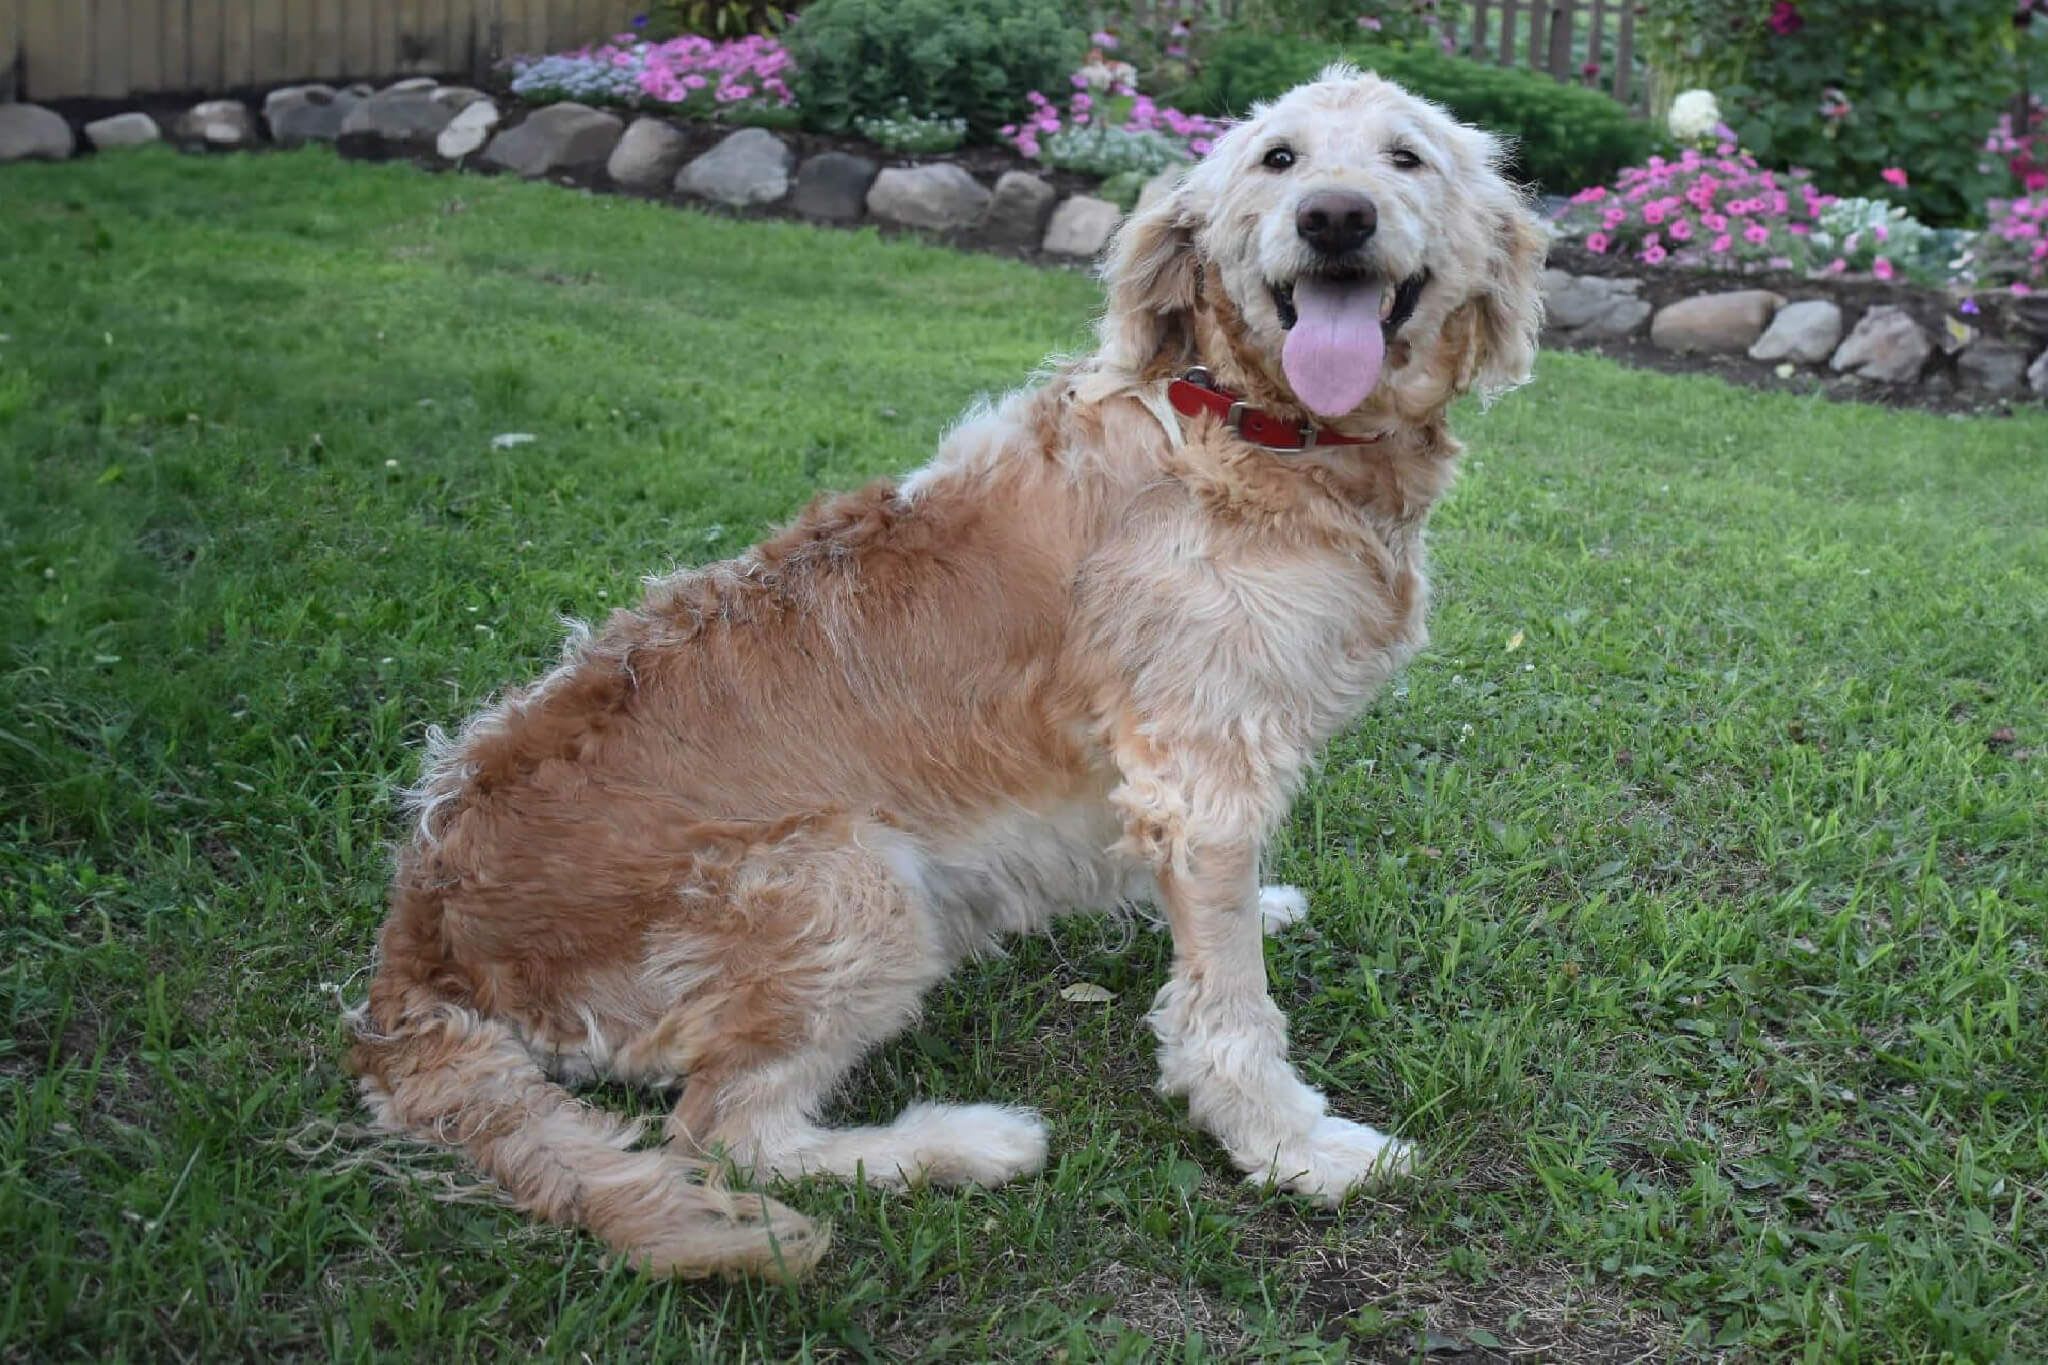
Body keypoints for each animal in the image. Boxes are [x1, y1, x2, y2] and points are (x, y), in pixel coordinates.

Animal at [348, 63, 1540, 1285]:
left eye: (1405, 156)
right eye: (1278, 159)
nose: (1334, 218)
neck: (1250, 428)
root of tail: (419, 942)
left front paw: (1260, 909)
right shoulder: (1197, 774)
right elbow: (1230, 1010)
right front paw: (1293, 1146)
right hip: (857, 892)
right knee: (724, 1135)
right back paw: (964, 1142)